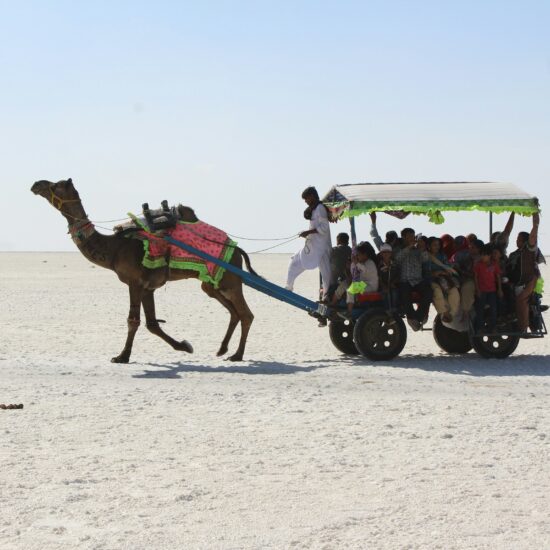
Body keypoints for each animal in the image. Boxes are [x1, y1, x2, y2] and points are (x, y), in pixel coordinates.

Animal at [33, 179, 258, 364]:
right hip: (211, 283)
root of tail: (237, 249)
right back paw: (222, 349)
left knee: (246, 314)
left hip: (229, 279)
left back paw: (237, 355)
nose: (36, 184)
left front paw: (122, 356)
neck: (114, 248)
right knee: (234, 312)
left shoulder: (135, 282)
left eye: (55, 185)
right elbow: (151, 323)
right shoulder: (148, 287)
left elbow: (133, 320)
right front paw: (184, 346)